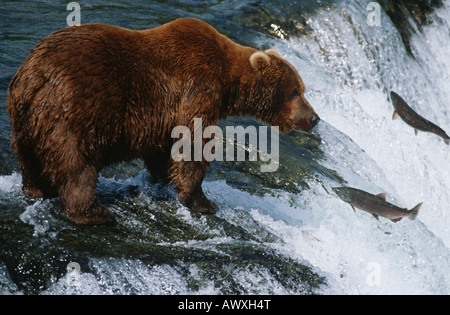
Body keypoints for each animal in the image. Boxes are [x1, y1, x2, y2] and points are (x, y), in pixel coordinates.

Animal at [6, 17, 316, 225]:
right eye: (295, 91)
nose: (314, 118)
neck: (228, 81)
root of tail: (33, 74)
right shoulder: (198, 89)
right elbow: (194, 143)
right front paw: (202, 201)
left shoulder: (167, 115)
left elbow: (166, 148)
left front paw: (164, 178)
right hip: (76, 107)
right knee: (76, 161)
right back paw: (93, 212)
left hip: (26, 118)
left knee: (29, 155)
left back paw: (37, 188)